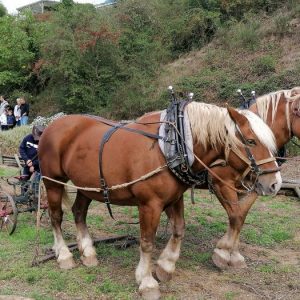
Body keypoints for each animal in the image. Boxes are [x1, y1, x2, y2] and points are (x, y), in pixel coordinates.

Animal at [38, 102, 280, 298]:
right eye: (251, 141)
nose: (275, 183)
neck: (171, 146)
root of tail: (51, 126)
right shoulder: (150, 204)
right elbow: (147, 242)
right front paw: (147, 282)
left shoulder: (174, 198)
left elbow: (179, 229)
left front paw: (165, 266)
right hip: (53, 182)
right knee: (56, 217)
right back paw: (64, 255)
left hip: (87, 186)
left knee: (79, 212)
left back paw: (87, 252)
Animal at [171, 86, 300, 270]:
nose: (277, 184)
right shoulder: (221, 184)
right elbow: (235, 216)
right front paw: (223, 252)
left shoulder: (253, 187)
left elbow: (241, 216)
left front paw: (234, 253)